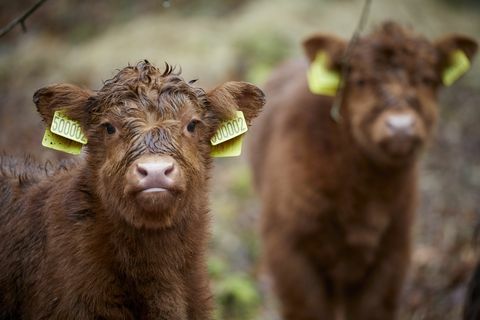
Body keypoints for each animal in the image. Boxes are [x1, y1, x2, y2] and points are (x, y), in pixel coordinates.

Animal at [249, 21, 478, 318]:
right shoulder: (288, 249)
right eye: (360, 81)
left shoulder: (394, 250)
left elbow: (373, 308)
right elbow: (308, 308)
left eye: (428, 79)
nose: (400, 126)